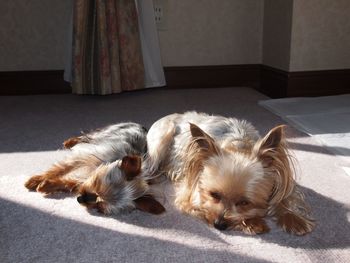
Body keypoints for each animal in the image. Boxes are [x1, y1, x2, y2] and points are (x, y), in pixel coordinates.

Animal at [26, 124, 165, 217]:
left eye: (100, 207)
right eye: (97, 183)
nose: (80, 199)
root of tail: (142, 126)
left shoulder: (85, 178)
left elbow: (70, 183)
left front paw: (48, 185)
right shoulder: (86, 156)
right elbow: (61, 168)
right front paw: (36, 180)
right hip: (105, 133)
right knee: (86, 136)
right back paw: (70, 141)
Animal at [144, 112, 314, 236]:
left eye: (244, 202)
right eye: (214, 194)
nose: (219, 225)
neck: (238, 145)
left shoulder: (283, 179)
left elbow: (287, 198)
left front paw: (294, 220)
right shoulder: (192, 192)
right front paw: (253, 223)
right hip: (161, 139)